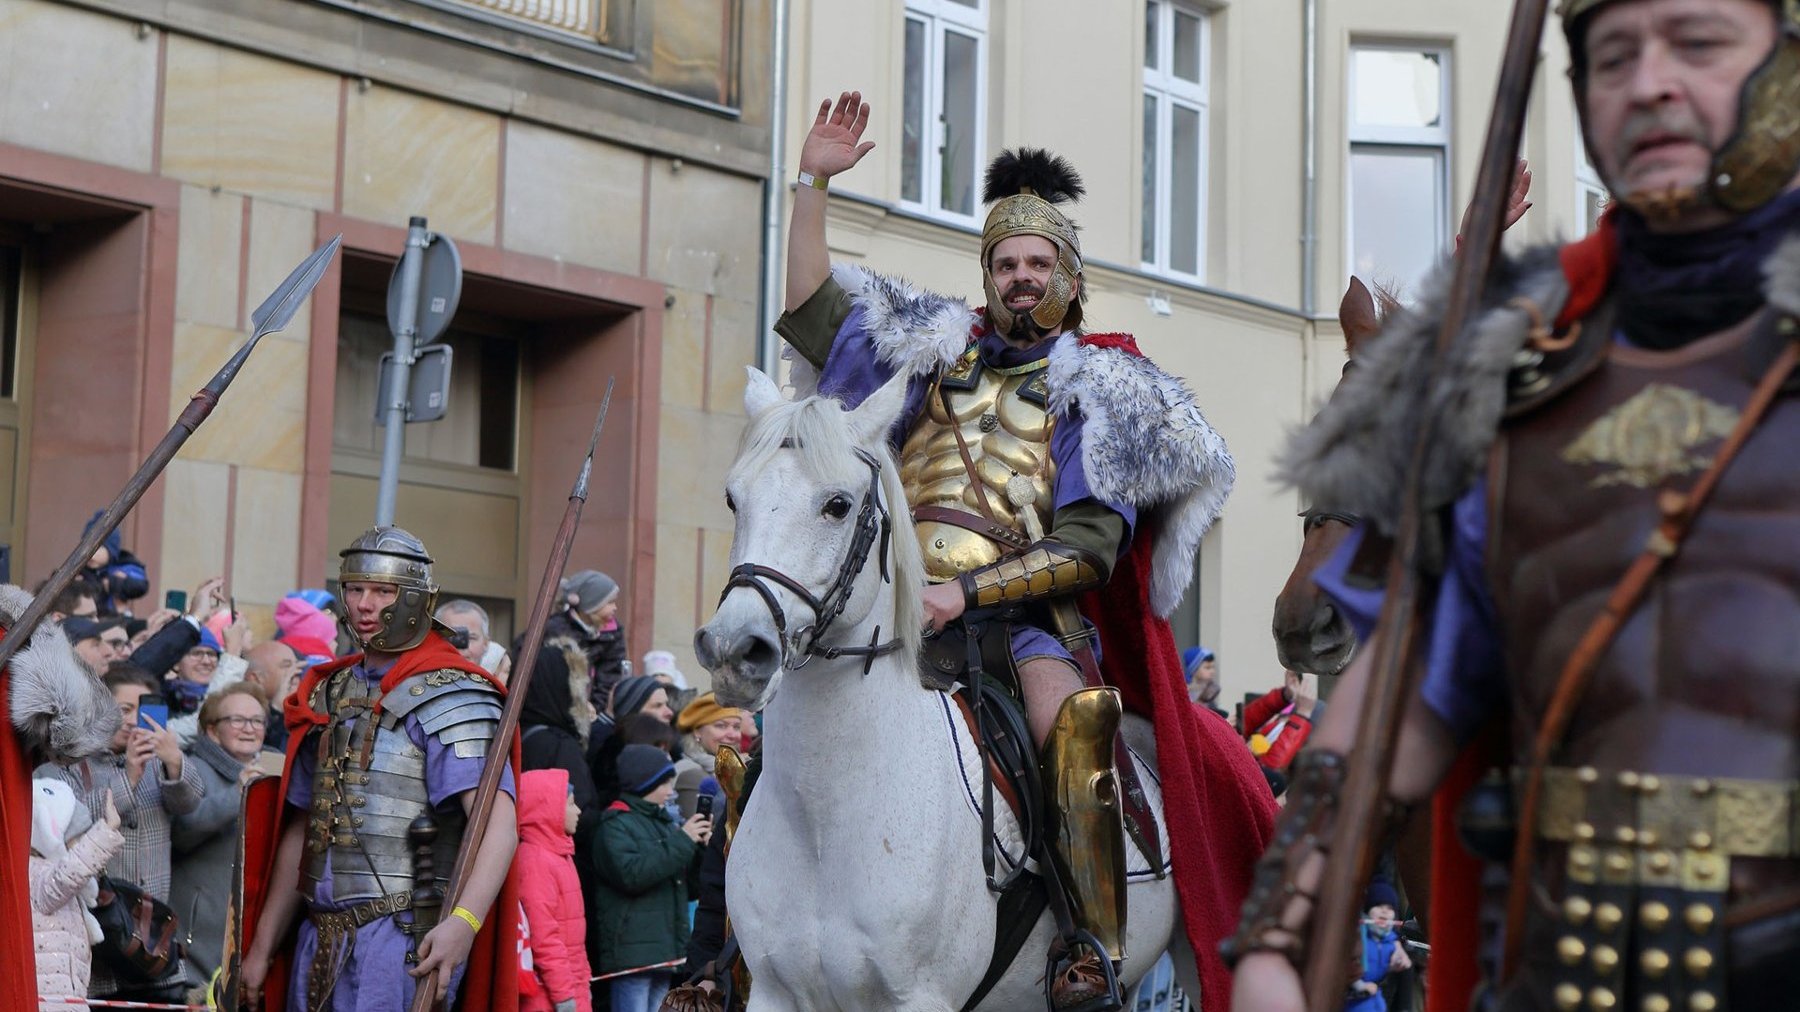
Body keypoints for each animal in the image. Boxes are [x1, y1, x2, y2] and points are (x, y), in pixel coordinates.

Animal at [694, 370, 1202, 1008]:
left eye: (838, 505)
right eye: (733, 499)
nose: (734, 650)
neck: (825, 820)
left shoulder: (921, 997)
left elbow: (1082, 548)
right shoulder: (774, 993)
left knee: (1082, 716)